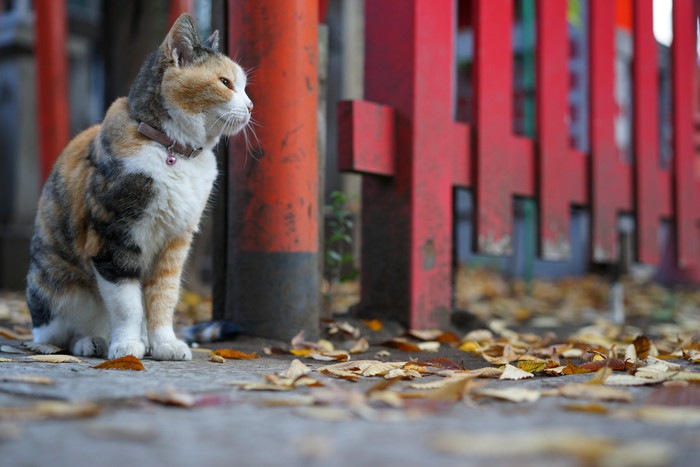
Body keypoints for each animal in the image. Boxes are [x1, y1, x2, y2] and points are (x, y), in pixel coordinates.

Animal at [26, 13, 253, 358]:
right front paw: (127, 347)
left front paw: (165, 344)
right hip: (54, 287)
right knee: (57, 335)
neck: (172, 150)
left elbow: (163, 296)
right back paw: (91, 342)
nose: (252, 106)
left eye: (242, 86)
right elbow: (127, 304)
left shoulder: (175, 241)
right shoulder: (113, 237)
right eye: (225, 83)